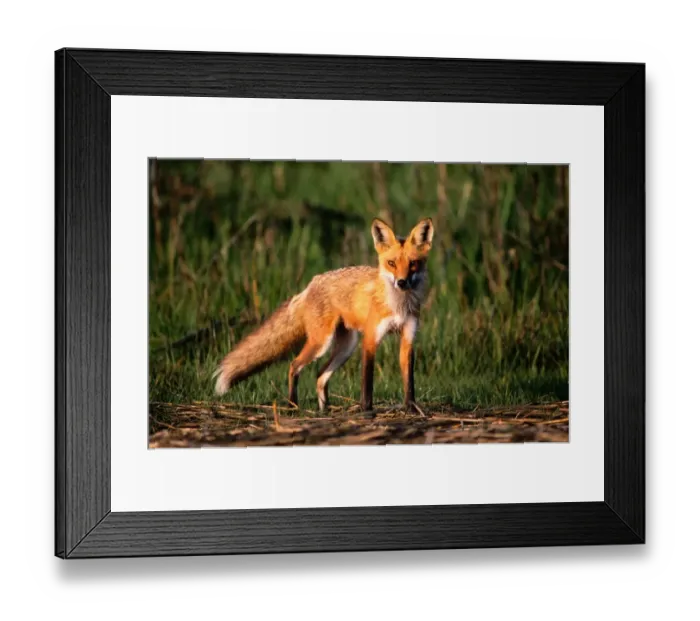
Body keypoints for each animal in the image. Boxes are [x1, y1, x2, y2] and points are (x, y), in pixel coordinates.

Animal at [213, 217, 435, 412]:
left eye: (413, 264)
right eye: (391, 263)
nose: (402, 282)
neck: (399, 305)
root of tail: (311, 284)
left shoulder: (408, 339)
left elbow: (409, 382)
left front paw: (411, 409)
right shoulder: (371, 339)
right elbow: (367, 381)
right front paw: (366, 410)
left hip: (346, 346)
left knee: (320, 375)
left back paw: (324, 409)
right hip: (322, 342)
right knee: (294, 366)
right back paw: (293, 406)